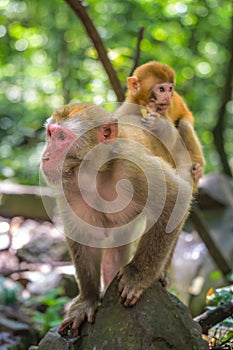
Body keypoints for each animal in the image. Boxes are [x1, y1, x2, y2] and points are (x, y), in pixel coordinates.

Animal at [41, 102, 192, 336]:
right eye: (50, 134)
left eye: (62, 137)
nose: (45, 157)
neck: (96, 171)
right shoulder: (69, 188)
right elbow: (84, 237)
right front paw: (88, 300)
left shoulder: (134, 167)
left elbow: (177, 198)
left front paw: (137, 274)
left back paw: (160, 274)